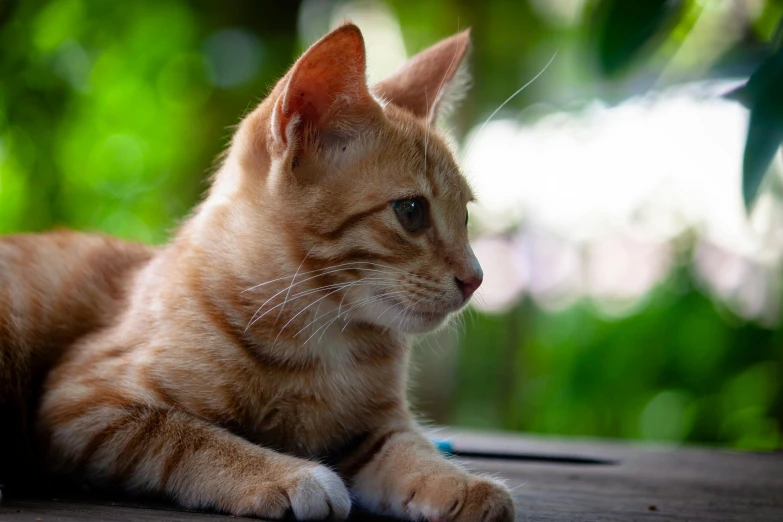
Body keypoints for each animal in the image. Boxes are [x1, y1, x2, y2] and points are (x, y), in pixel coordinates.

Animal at [0, 24, 516, 520]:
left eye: (464, 215)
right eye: (411, 212)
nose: (476, 278)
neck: (321, 342)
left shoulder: (375, 430)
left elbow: (414, 449)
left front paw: (459, 483)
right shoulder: (83, 404)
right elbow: (190, 437)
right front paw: (287, 474)